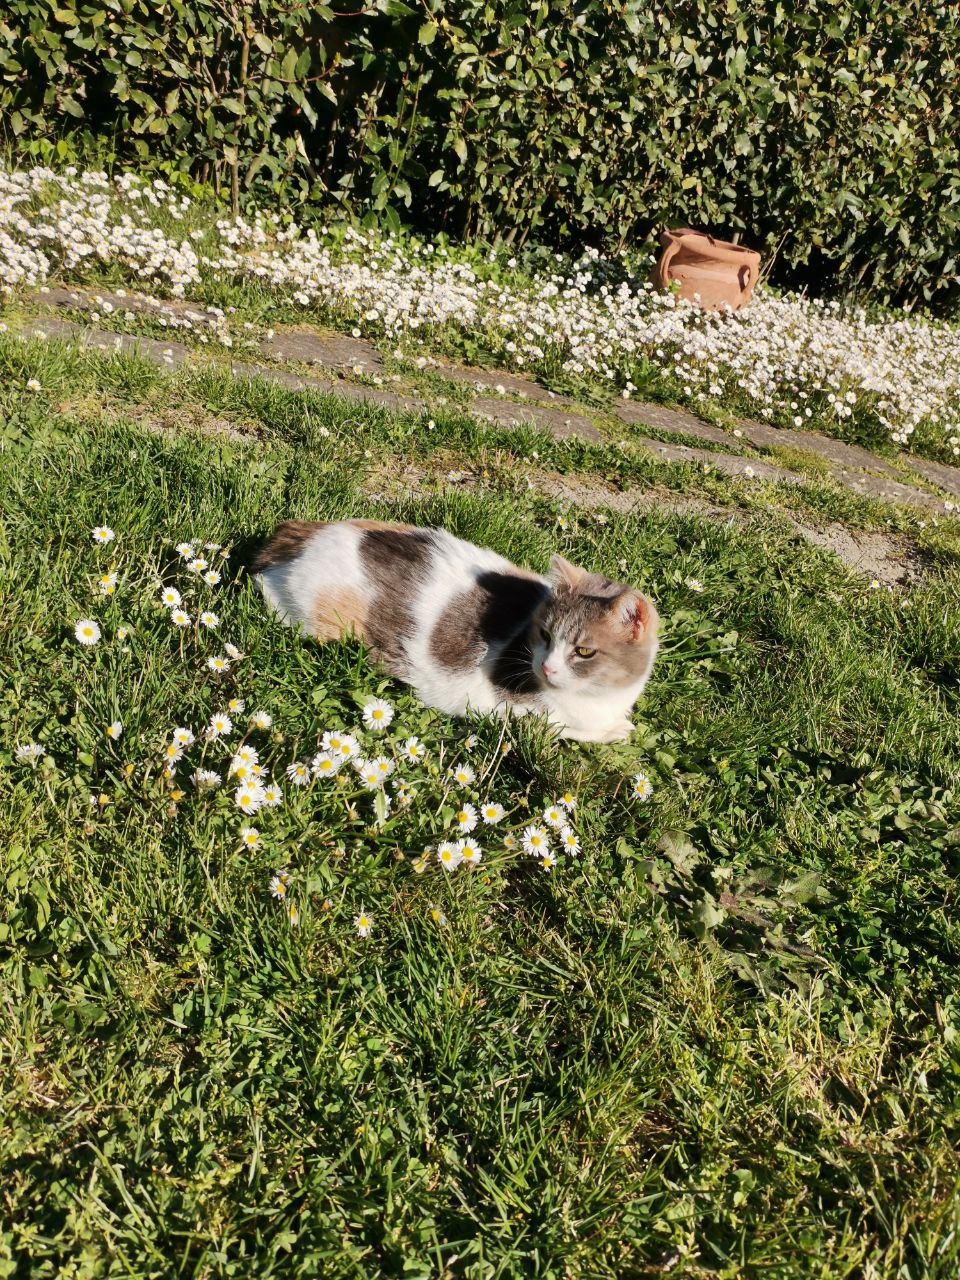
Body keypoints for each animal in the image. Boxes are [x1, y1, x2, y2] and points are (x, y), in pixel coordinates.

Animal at [253, 519, 659, 743]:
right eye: (545, 635)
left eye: (584, 651)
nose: (546, 667)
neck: (599, 697)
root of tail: (298, 532)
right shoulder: (499, 711)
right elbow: (562, 728)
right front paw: (616, 730)